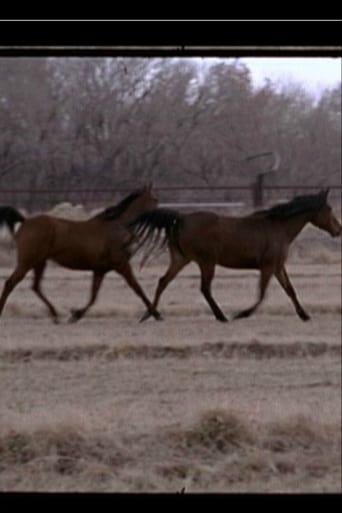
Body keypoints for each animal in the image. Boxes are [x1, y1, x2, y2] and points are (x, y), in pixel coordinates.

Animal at [0, 183, 162, 320]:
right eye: (155, 199)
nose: (162, 215)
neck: (116, 228)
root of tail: (25, 221)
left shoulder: (100, 270)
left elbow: (93, 296)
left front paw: (76, 314)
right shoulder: (121, 265)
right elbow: (137, 288)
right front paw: (155, 314)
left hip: (39, 262)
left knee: (36, 287)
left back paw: (55, 314)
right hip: (27, 262)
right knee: (10, 283)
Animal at [130, 190, 340, 322]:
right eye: (329, 209)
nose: (338, 229)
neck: (279, 228)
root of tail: (180, 218)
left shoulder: (278, 266)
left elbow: (290, 289)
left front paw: (304, 315)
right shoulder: (268, 266)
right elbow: (262, 293)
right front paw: (242, 314)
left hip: (181, 259)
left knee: (163, 281)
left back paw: (151, 314)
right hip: (206, 262)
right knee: (204, 288)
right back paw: (222, 316)